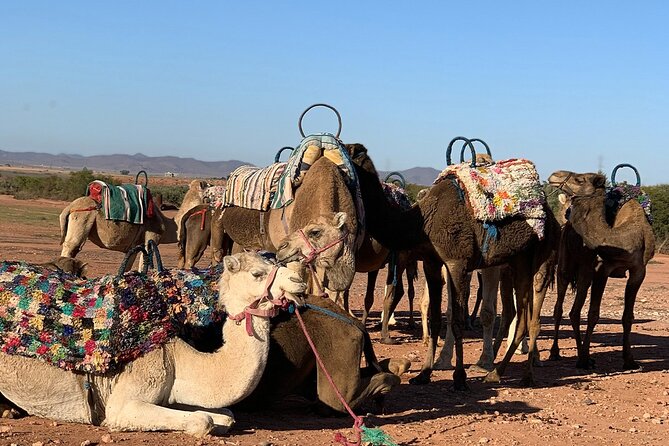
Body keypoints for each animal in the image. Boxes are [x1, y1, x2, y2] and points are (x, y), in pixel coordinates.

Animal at [0, 252, 306, 436]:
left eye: (275, 264)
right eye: (256, 273)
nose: (298, 281)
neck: (175, 356)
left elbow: (227, 415)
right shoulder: (123, 402)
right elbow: (202, 420)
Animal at [348, 143, 560, 388]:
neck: (421, 221)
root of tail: (553, 218)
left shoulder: (456, 261)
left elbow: (458, 320)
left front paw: (459, 377)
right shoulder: (431, 262)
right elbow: (436, 318)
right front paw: (424, 373)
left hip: (539, 260)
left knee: (530, 319)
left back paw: (523, 375)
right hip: (516, 264)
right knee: (520, 315)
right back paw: (497, 372)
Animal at [547, 170, 654, 369]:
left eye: (579, 179)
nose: (554, 175)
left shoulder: (638, 271)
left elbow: (627, 316)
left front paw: (629, 360)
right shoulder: (601, 269)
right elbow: (593, 314)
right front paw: (583, 359)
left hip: (584, 272)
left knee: (574, 310)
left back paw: (584, 356)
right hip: (566, 265)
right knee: (559, 308)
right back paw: (556, 353)